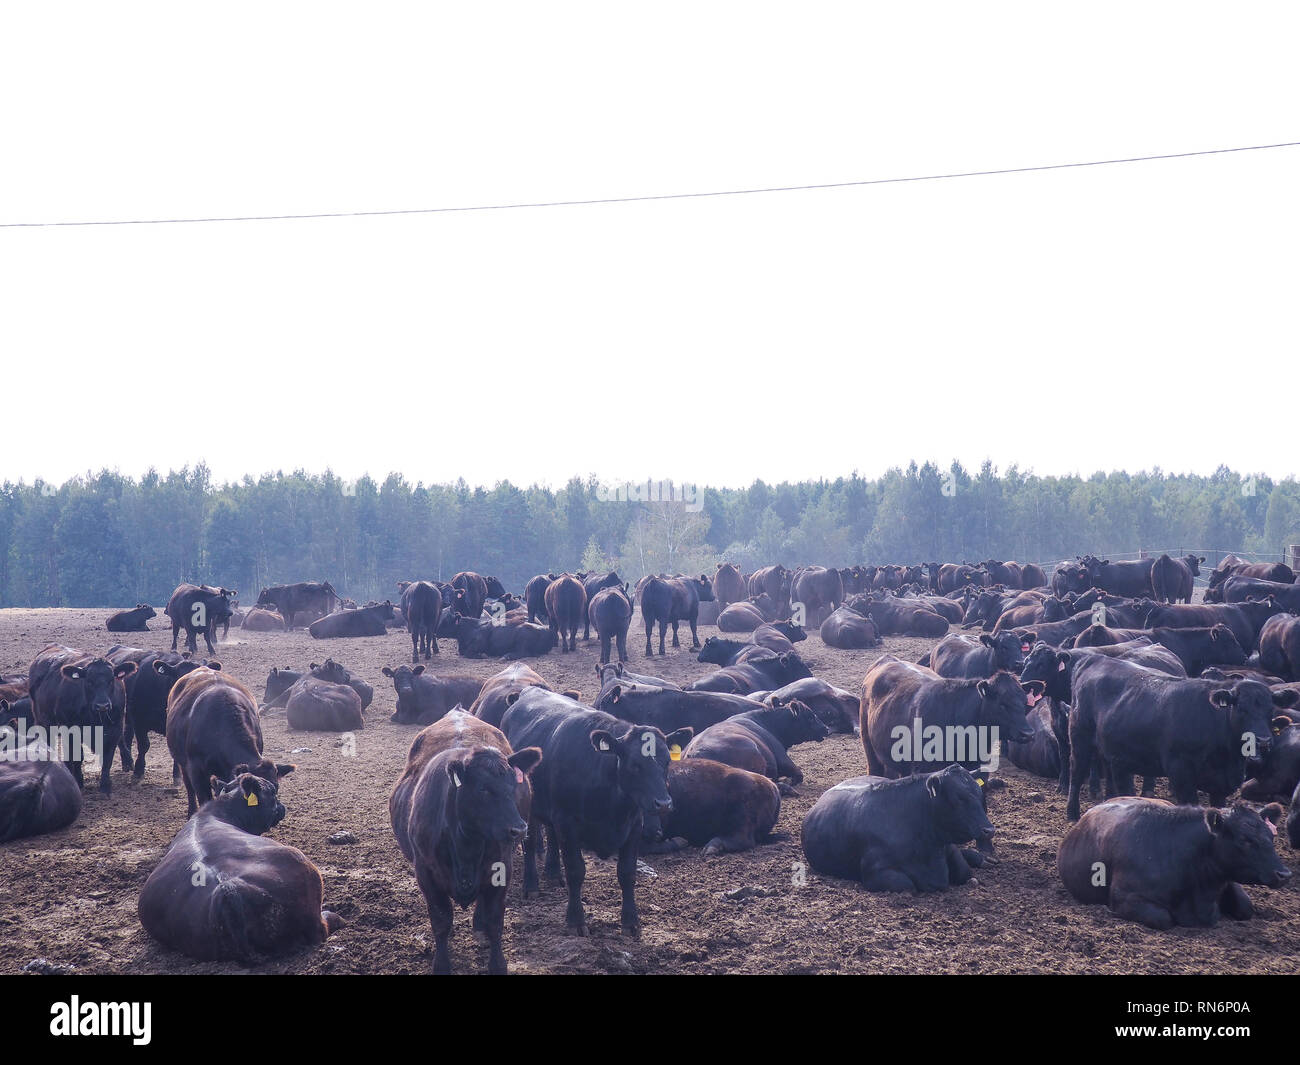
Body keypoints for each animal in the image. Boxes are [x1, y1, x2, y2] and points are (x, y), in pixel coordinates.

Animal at [27, 645, 136, 795]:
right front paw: (78, 781)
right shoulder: (71, 730)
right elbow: (77, 756)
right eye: (89, 681)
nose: (102, 705)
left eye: (111, 680)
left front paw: (105, 786)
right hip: (43, 720)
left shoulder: (115, 728)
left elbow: (108, 758)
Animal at [389, 710, 541, 974]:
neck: (466, 843)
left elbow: (494, 921)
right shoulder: (425, 873)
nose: (519, 829)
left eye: (515, 785)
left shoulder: (502, 868)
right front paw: (441, 964)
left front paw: (498, 964)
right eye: (483, 789)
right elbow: (441, 920)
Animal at [500, 687, 692, 937]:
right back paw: (531, 885)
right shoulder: (567, 823)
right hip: (529, 806)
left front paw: (631, 922)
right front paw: (575, 920)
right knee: (531, 842)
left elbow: (627, 873)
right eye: (635, 764)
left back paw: (553, 873)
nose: (664, 803)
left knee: (551, 835)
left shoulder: (634, 826)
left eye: (667, 762)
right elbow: (575, 870)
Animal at [801, 767, 994, 892]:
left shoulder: (948, 846)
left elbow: (964, 871)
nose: (989, 830)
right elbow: (907, 885)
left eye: (979, 794)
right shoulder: (874, 871)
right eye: (959, 798)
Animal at [1058, 797, 1289, 928]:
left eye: (1271, 835)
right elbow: (1163, 918)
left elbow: (1245, 906)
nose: (1284, 874)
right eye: (1244, 840)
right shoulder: (1124, 897)